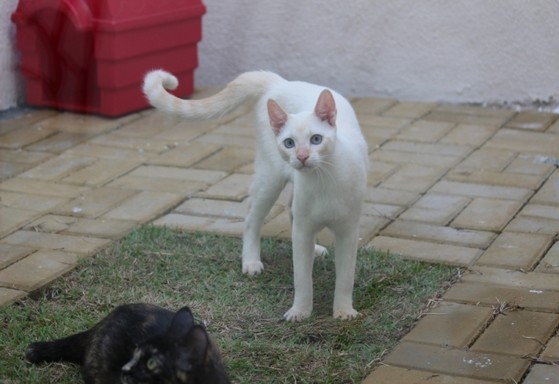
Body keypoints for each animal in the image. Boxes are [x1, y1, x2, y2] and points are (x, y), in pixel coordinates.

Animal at [142, 70, 370, 320]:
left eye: (316, 139)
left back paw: (315, 249)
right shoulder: (303, 230)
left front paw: (343, 311)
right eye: (289, 143)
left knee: (289, 210)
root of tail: (280, 83)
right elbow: (302, 278)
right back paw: (251, 261)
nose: (301, 157)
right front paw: (300, 311)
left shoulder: (348, 232)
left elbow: (345, 278)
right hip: (269, 179)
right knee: (252, 218)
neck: (322, 181)